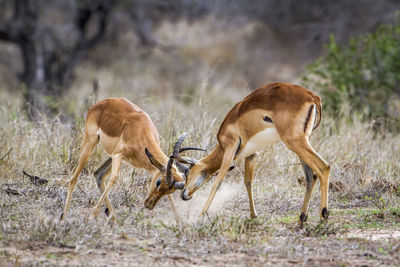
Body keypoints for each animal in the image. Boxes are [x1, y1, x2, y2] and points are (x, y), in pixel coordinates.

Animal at [60, 97, 202, 223]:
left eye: (170, 190)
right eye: (158, 182)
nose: (149, 205)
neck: (141, 129)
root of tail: (100, 103)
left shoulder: (146, 165)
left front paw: (180, 221)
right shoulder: (119, 155)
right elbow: (114, 178)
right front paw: (91, 216)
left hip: (110, 156)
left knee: (98, 174)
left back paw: (113, 217)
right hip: (90, 144)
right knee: (74, 178)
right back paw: (64, 216)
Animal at [168, 82, 328, 225]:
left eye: (187, 172)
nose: (184, 194)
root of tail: (312, 96)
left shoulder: (230, 150)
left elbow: (217, 183)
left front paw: (199, 218)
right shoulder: (252, 154)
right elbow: (248, 182)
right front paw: (253, 216)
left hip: (294, 141)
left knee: (324, 167)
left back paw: (323, 217)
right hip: (303, 142)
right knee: (311, 177)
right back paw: (302, 219)